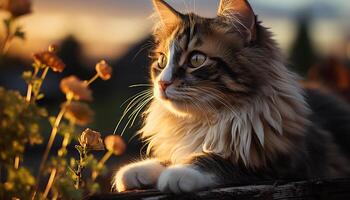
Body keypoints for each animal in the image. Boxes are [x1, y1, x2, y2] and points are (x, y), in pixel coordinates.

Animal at [111, 0, 350, 194]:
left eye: (196, 59)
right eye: (162, 61)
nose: (162, 83)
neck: (206, 122)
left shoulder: (284, 164)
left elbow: (219, 160)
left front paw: (178, 173)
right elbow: (172, 157)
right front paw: (137, 170)